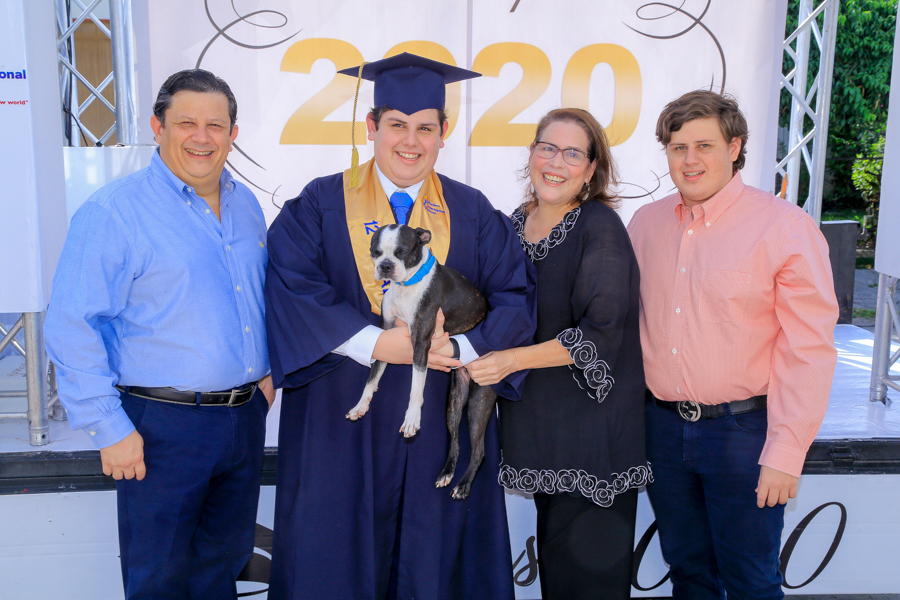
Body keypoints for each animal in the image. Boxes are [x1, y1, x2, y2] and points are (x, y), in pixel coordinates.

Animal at [346, 224, 498, 501]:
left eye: (402, 252)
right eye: (375, 252)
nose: (385, 266)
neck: (407, 284)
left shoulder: (421, 341)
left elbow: (416, 386)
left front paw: (412, 419)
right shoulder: (386, 333)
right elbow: (373, 376)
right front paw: (362, 405)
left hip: (480, 400)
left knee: (479, 450)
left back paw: (463, 485)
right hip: (455, 401)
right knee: (456, 441)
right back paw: (447, 473)